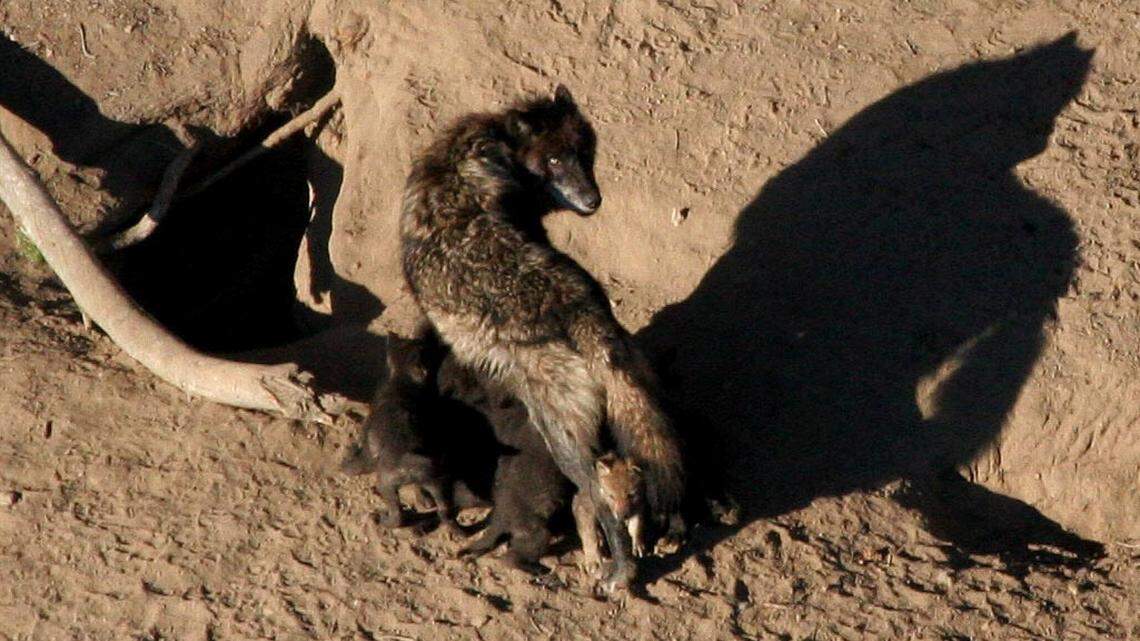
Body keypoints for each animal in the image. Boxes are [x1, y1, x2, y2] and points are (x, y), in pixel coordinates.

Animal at [400, 84, 685, 589]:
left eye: (583, 155)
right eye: (553, 160)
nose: (593, 199)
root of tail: (582, 308)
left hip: (563, 438)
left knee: (601, 499)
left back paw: (619, 574)